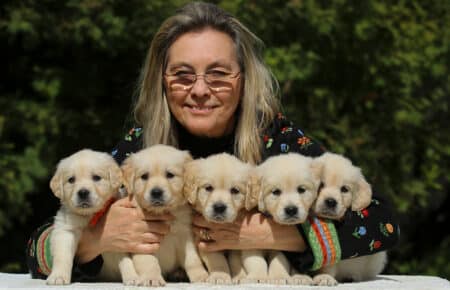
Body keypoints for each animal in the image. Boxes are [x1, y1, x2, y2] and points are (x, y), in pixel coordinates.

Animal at [46, 150, 124, 286]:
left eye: (96, 177)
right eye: (71, 180)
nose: (83, 193)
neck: (89, 215)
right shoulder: (65, 230)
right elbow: (62, 255)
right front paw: (58, 277)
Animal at [120, 145, 210, 286]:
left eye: (170, 175)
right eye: (144, 176)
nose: (156, 192)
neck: (164, 212)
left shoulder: (185, 235)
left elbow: (192, 259)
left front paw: (201, 276)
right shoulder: (143, 239)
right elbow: (149, 261)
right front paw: (152, 278)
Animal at [184, 153, 264, 284]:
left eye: (235, 190)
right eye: (208, 188)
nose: (219, 207)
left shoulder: (238, 245)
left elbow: (235, 260)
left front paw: (239, 276)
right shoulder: (204, 242)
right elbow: (217, 259)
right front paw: (220, 276)